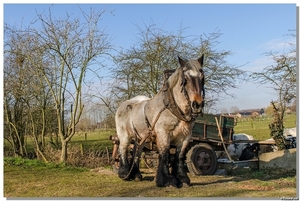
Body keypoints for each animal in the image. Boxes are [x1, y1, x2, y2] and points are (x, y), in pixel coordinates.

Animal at [115, 54, 206, 187]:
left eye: (202, 77)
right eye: (185, 79)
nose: (197, 104)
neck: (172, 108)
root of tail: (125, 104)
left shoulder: (185, 137)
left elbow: (179, 156)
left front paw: (182, 178)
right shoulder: (163, 134)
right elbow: (164, 154)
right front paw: (167, 180)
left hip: (141, 138)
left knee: (136, 152)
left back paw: (136, 174)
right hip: (124, 135)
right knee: (123, 149)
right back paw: (124, 173)